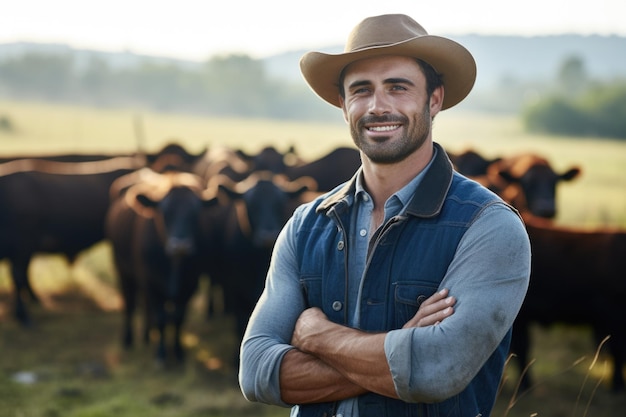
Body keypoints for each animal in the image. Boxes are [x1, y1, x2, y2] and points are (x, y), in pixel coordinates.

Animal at [105, 168, 217, 360]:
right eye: (166, 213)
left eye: (195, 214)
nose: (180, 246)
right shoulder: (152, 284)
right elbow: (161, 317)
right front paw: (161, 354)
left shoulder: (189, 284)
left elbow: (178, 318)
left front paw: (178, 351)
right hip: (122, 269)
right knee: (130, 304)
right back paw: (128, 339)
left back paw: (146, 335)